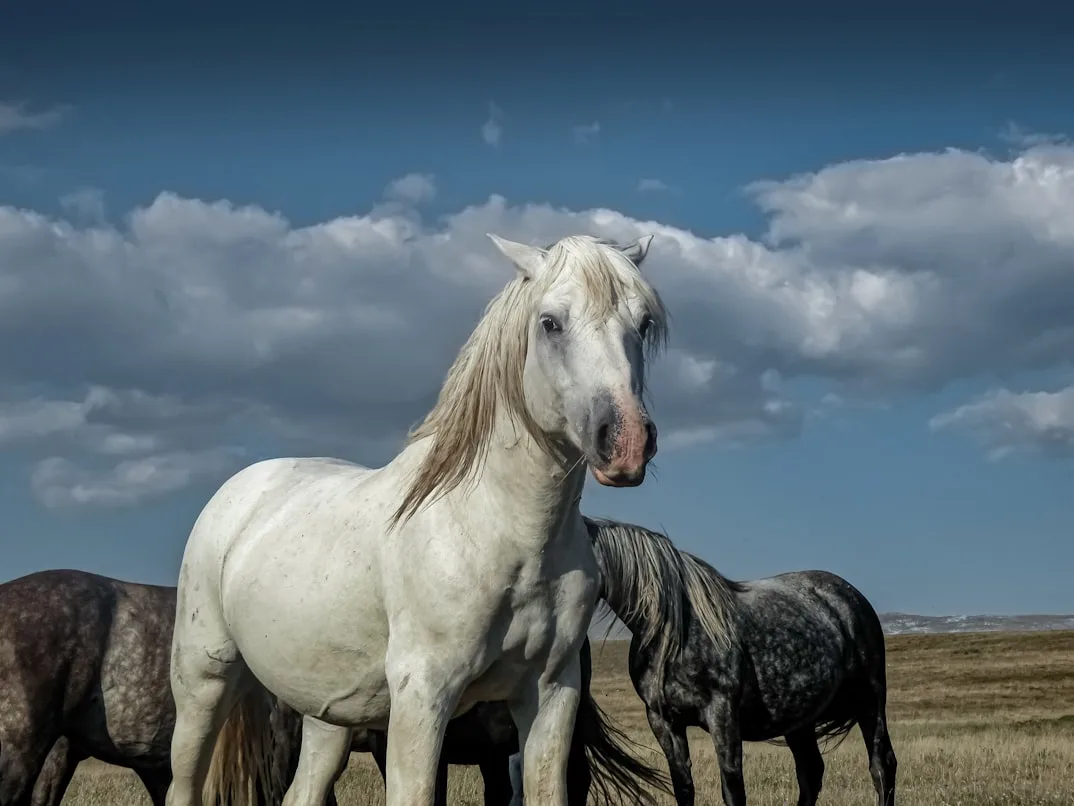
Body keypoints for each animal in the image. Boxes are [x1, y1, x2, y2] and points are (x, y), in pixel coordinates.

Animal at [166, 233, 668, 806]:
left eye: (643, 323)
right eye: (550, 322)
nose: (626, 442)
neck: (499, 531)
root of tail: (237, 491)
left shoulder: (551, 692)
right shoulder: (422, 695)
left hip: (326, 715)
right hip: (203, 684)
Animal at [585, 517, 897, 806]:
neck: (673, 630)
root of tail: (851, 596)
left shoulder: (722, 714)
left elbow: (732, 789)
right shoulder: (664, 722)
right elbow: (684, 788)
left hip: (870, 701)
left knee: (882, 766)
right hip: (800, 718)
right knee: (811, 772)